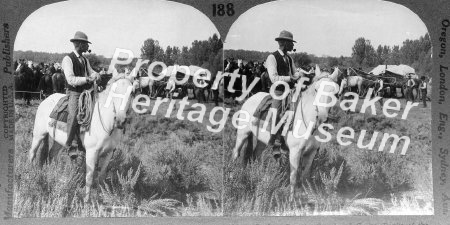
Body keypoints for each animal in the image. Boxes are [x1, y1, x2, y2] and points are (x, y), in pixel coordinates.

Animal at [230, 65, 340, 199]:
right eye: (316, 89)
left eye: (335, 92)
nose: (322, 117)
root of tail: (250, 98)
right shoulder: (295, 152)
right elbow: (293, 177)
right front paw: (291, 199)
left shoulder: (311, 152)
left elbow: (305, 175)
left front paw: (308, 194)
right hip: (243, 134)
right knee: (236, 153)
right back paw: (232, 176)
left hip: (263, 140)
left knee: (256, 155)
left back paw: (257, 174)